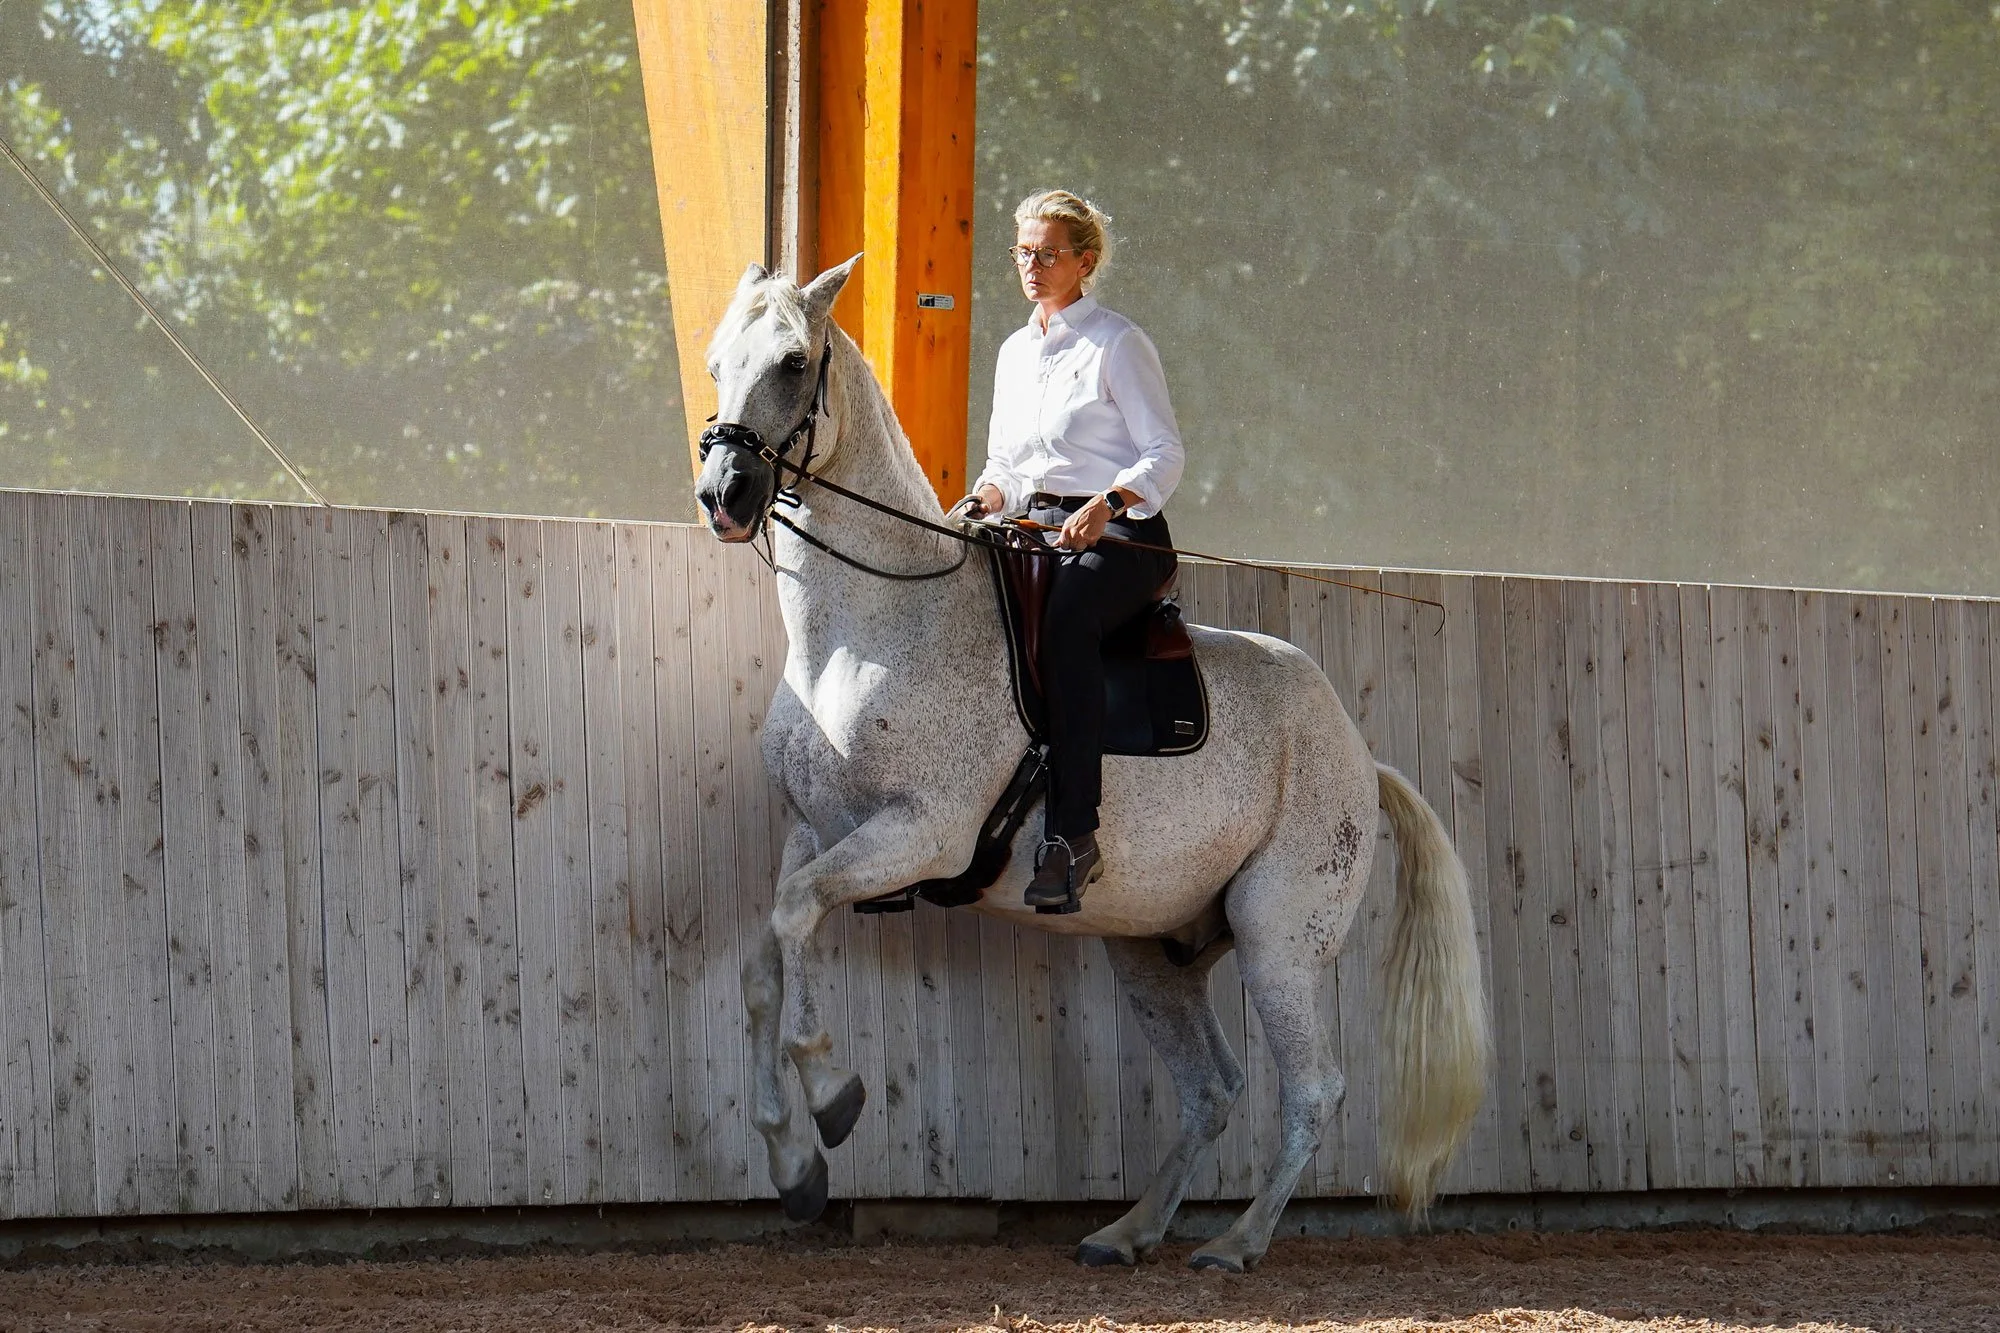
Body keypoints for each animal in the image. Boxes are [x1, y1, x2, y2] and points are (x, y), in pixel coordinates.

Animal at [693, 257, 1491, 1272]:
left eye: (794, 362)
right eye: (718, 361)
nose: (725, 493)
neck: (877, 624)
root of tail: (1360, 754)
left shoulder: (921, 833)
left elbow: (794, 921)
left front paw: (832, 1097)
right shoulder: (815, 831)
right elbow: (766, 959)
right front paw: (794, 1163)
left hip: (1278, 941)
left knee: (1314, 1090)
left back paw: (1235, 1242)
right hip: (1149, 950)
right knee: (1212, 1087)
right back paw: (1129, 1229)